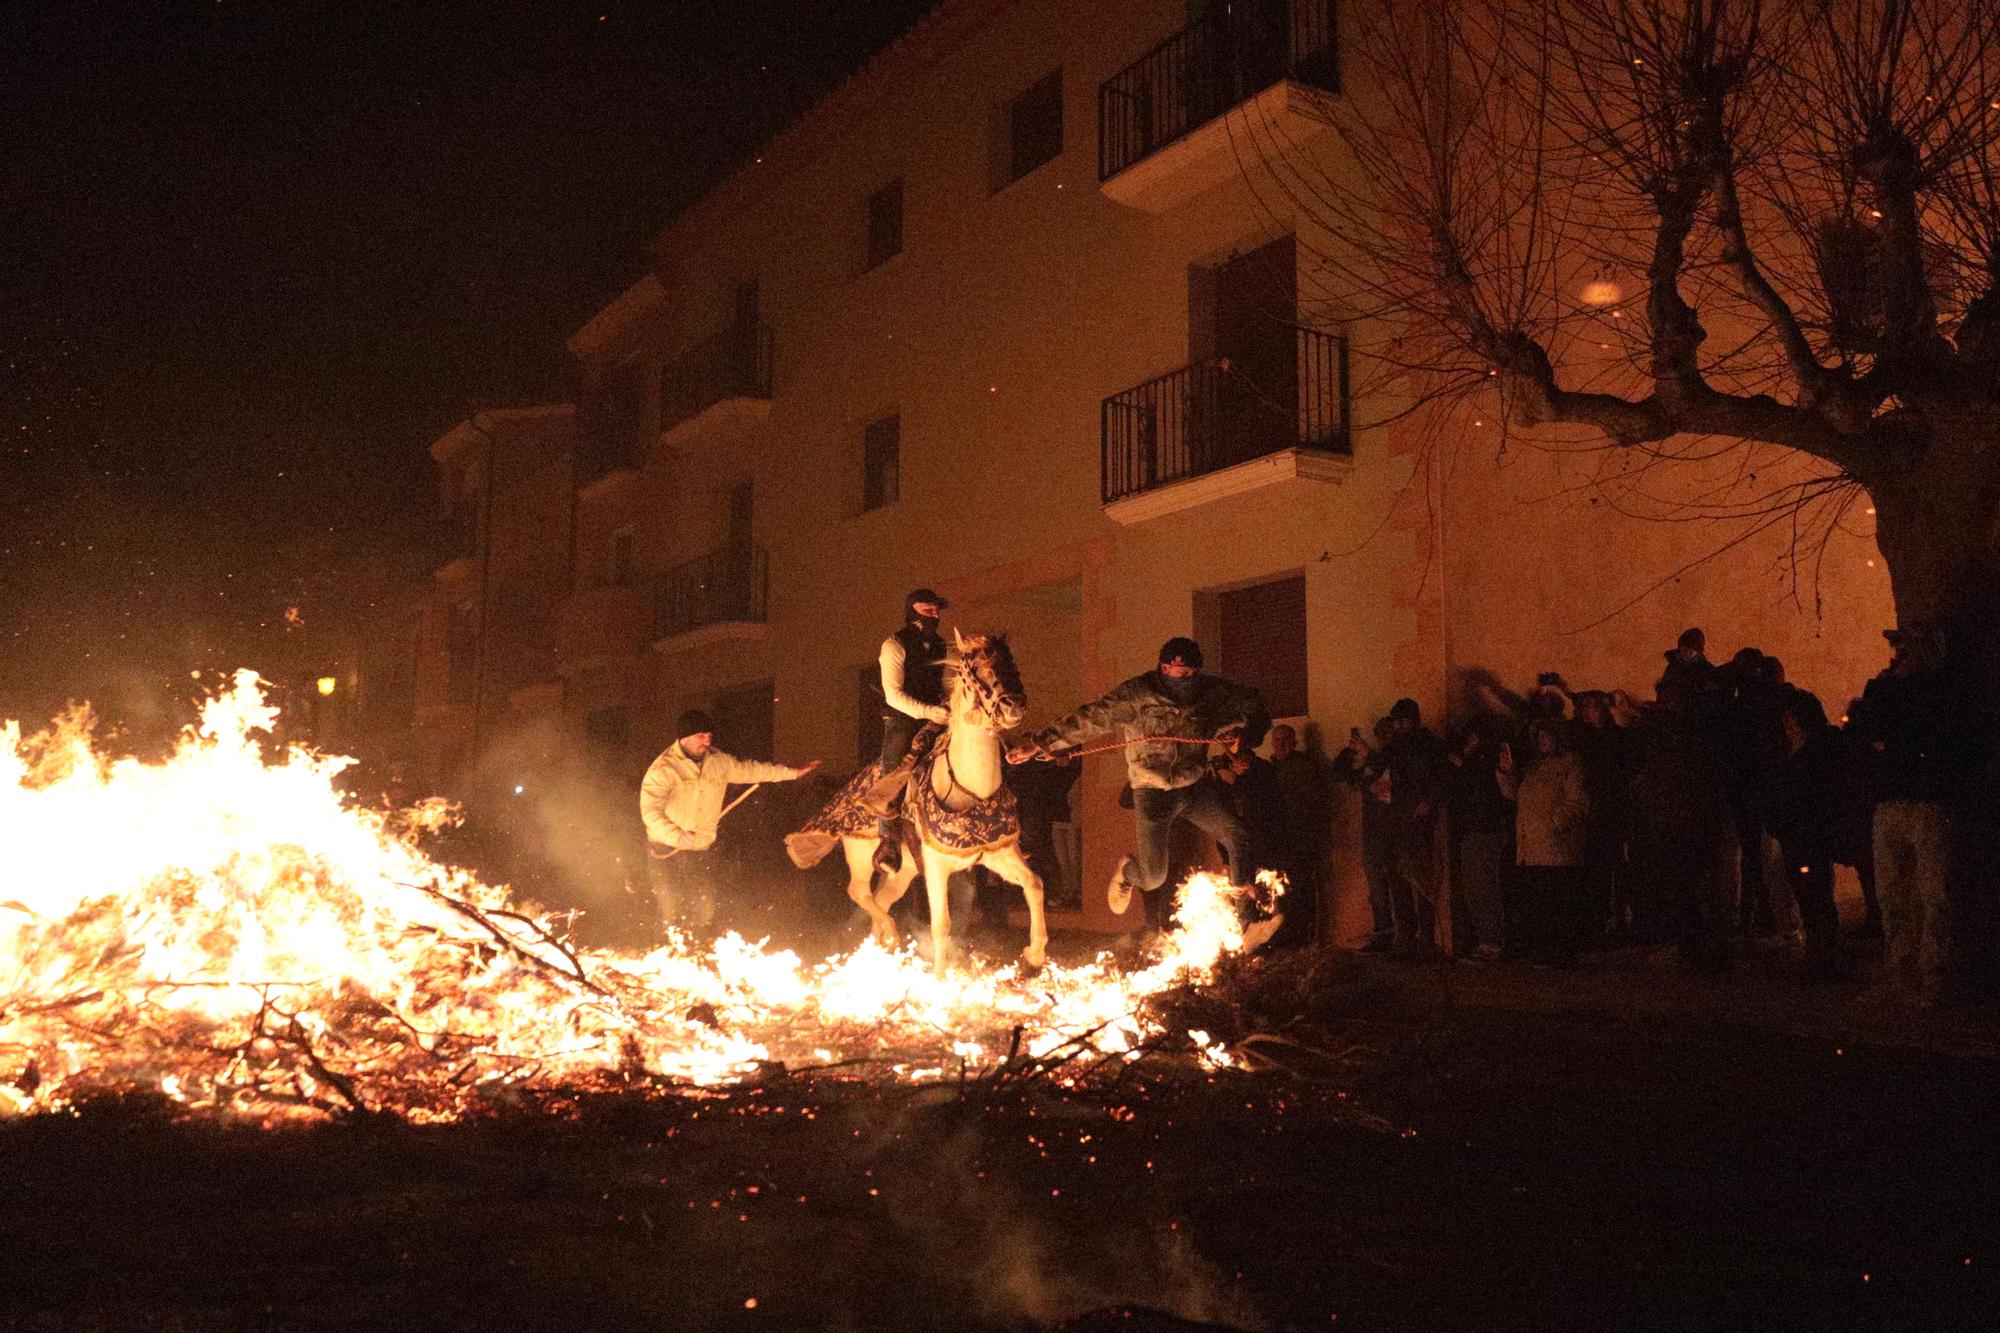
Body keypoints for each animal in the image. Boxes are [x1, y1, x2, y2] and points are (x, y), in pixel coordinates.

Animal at [788, 628, 1056, 972]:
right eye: (976, 670)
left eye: (1012, 662)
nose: (1014, 706)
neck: (969, 787)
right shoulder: (935, 866)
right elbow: (940, 924)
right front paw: (941, 978)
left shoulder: (998, 853)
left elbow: (1034, 884)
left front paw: (1034, 954)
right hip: (861, 854)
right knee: (859, 892)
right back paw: (889, 932)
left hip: (904, 871)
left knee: (882, 899)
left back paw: (884, 944)